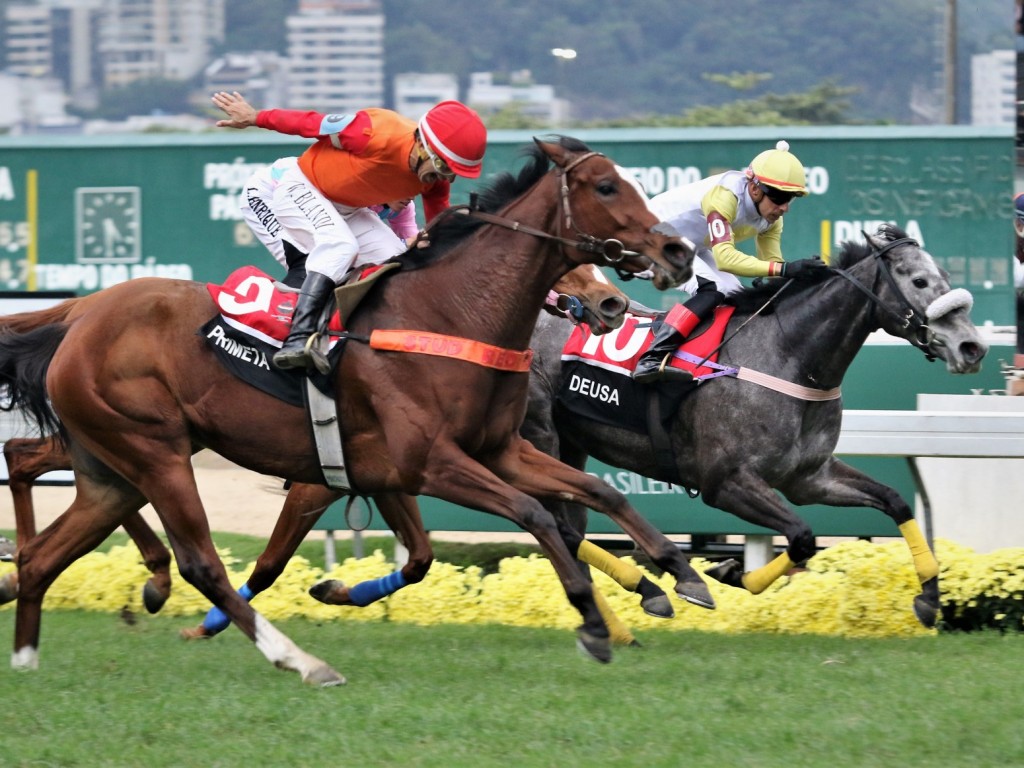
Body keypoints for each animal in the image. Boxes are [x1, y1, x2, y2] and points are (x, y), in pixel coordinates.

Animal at [0, 137, 696, 684]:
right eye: (606, 186)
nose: (677, 252)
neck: (448, 311)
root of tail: (83, 313)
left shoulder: (486, 453)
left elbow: (596, 493)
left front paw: (677, 571)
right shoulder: (430, 463)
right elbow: (535, 515)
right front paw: (592, 620)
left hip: (112, 467)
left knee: (48, 544)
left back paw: (29, 651)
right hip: (155, 450)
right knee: (200, 560)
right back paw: (300, 661)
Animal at [524, 224, 987, 630]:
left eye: (946, 277)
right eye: (920, 280)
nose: (972, 347)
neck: (788, 356)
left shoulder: (809, 478)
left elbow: (895, 502)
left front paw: (929, 598)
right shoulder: (725, 482)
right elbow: (802, 535)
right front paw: (727, 572)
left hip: (572, 445)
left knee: (571, 522)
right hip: (538, 435)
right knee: (559, 524)